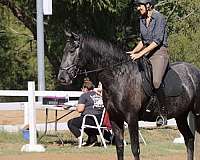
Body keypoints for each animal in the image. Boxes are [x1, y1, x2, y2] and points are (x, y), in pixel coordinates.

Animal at [57, 32, 200, 160]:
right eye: (64, 51)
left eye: (72, 51)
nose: (62, 78)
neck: (119, 76)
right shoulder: (115, 118)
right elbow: (119, 147)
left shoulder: (132, 118)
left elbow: (135, 149)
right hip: (181, 116)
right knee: (189, 139)